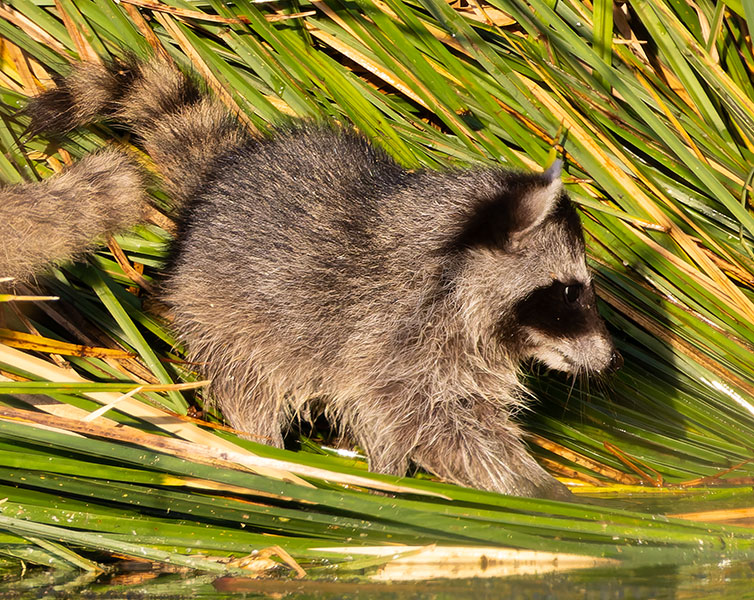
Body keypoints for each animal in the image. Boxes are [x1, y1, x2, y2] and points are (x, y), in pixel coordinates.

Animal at [2, 57, 621, 499]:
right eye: (569, 291)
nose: (612, 360)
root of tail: (219, 179)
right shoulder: (397, 346)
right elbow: (446, 430)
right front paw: (533, 490)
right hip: (223, 313)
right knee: (248, 386)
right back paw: (265, 451)